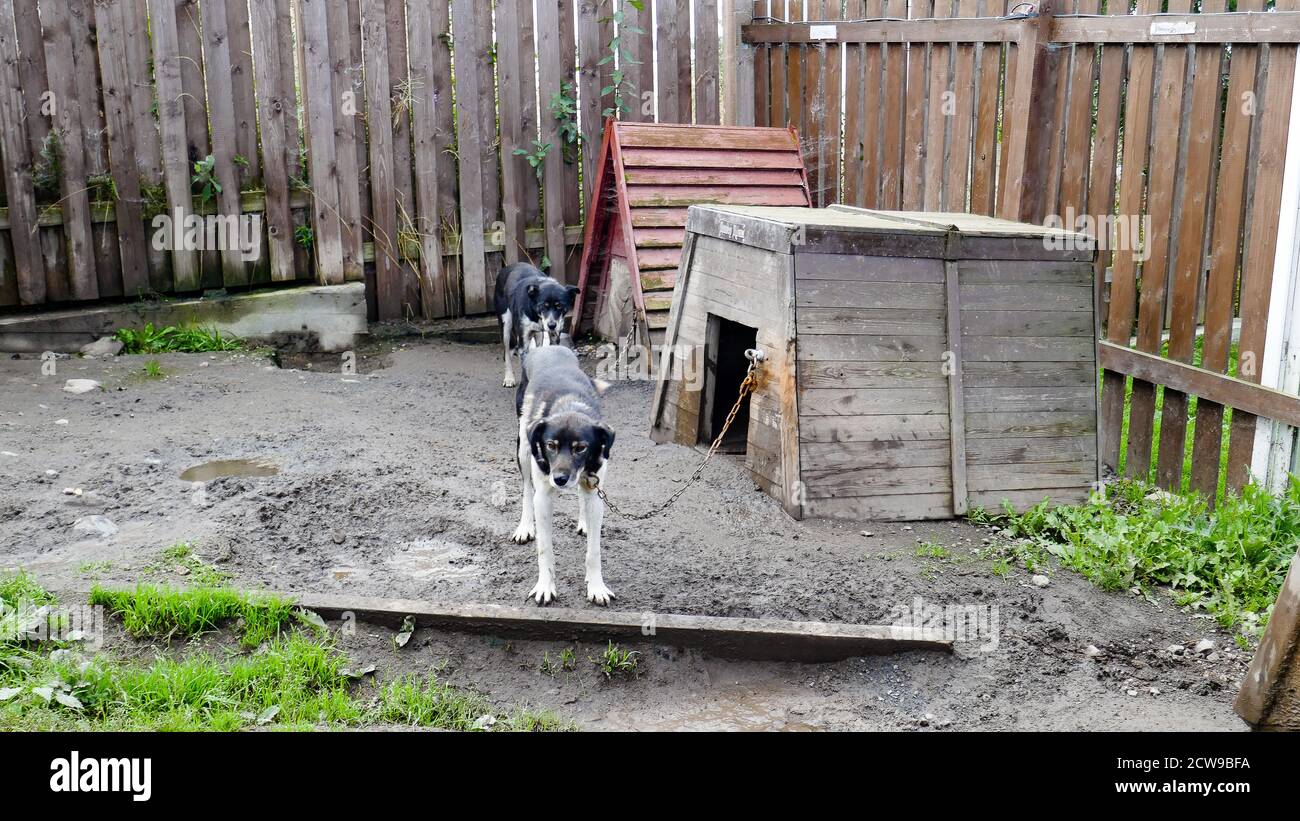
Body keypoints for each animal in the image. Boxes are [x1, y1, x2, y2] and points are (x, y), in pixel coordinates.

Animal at [509, 342, 616, 605]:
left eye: (581, 448)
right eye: (550, 445)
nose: (559, 479)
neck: (569, 405)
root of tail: (547, 346)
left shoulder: (595, 489)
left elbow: (593, 551)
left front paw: (596, 587)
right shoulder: (544, 497)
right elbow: (545, 549)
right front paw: (545, 587)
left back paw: (583, 521)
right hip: (523, 448)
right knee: (526, 490)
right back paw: (525, 527)